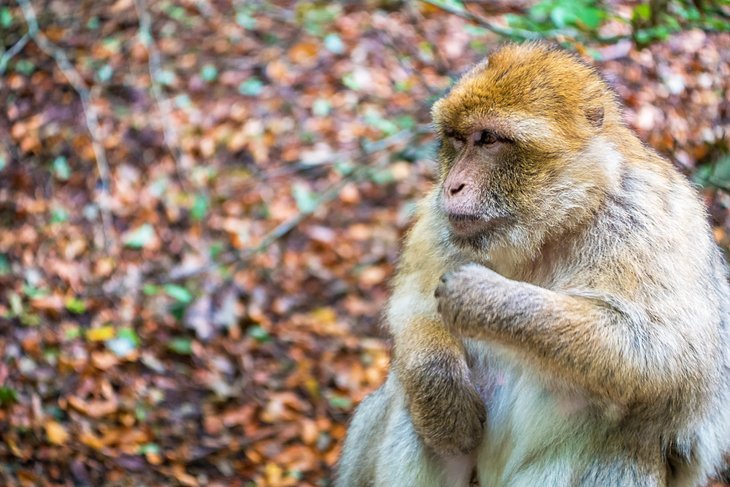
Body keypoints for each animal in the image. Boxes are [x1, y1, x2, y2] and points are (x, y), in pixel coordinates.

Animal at [334, 43, 728, 487]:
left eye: (488, 139)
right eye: (457, 139)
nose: (452, 186)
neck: (555, 225)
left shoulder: (652, 220)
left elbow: (672, 360)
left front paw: (486, 298)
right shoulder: (439, 220)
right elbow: (411, 301)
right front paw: (441, 390)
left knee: (627, 446)